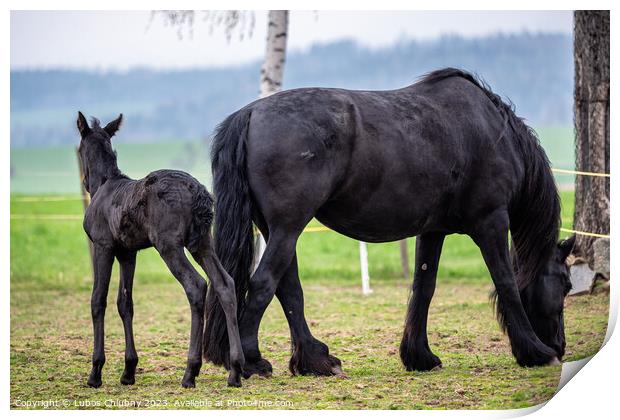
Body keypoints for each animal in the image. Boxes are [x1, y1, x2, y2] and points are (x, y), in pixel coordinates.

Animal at [75, 111, 245, 388]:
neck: (104, 185)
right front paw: (128, 370)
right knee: (224, 283)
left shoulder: (103, 246)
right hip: (202, 242)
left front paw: (95, 372)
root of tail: (198, 192)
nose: (85, 180)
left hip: (169, 245)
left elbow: (97, 300)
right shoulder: (127, 252)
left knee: (196, 285)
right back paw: (235, 370)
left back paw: (190, 371)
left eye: (80, 149)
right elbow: (125, 303)